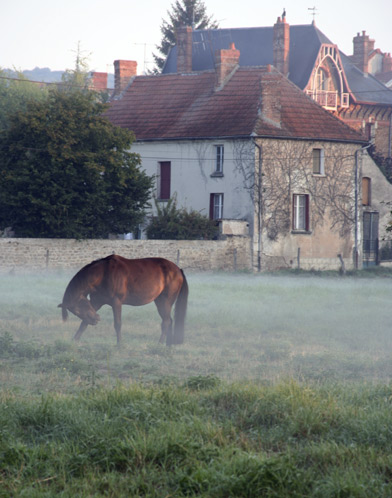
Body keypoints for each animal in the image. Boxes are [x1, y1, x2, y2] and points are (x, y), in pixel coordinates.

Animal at [57, 255, 189, 344]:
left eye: (77, 309)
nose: (96, 319)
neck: (103, 274)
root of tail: (178, 270)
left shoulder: (116, 302)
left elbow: (118, 324)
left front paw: (119, 344)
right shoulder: (96, 302)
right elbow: (84, 323)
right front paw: (75, 339)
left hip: (164, 302)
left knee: (166, 322)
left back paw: (160, 343)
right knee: (169, 321)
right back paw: (168, 344)